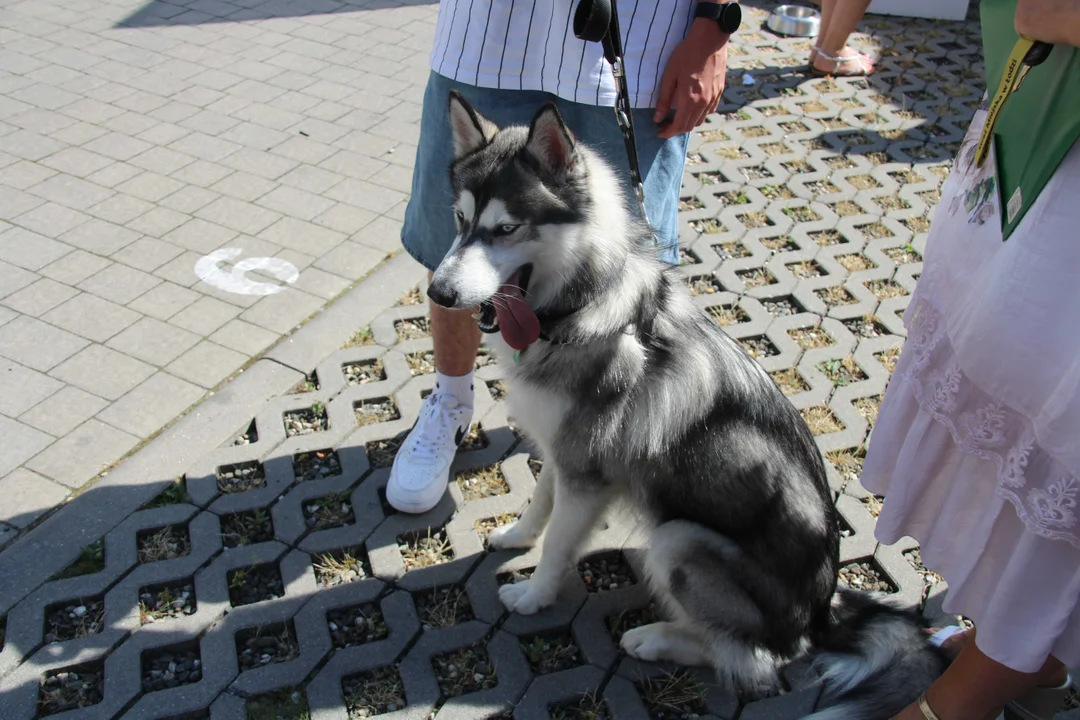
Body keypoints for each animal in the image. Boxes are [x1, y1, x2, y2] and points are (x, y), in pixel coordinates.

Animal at [425, 91, 950, 720]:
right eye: (460, 221)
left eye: (506, 229)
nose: (439, 293)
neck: (582, 309)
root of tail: (822, 614)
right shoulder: (563, 452)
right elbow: (539, 506)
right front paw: (514, 537)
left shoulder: (587, 475)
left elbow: (557, 545)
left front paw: (532, 595)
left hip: (678, 538)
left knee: (752, 661)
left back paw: (655, 639)